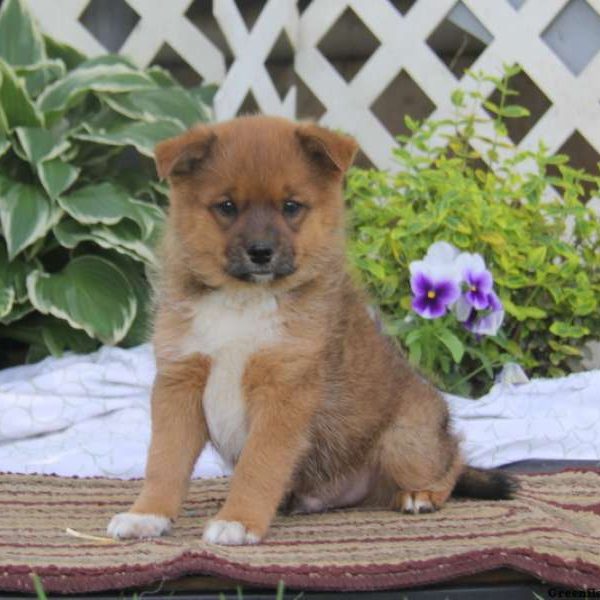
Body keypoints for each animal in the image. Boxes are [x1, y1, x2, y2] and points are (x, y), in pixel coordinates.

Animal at [106, 115, 516, 548]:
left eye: (291, 206)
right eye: (227, 207)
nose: (261, 252)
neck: (245, 301)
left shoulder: (284, 391)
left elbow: (258, 465)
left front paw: (239, 520)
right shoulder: (179, 383)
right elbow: (164, 462)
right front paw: (147, 515)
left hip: (405, 440)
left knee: (453, 459)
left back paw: (420, 495)